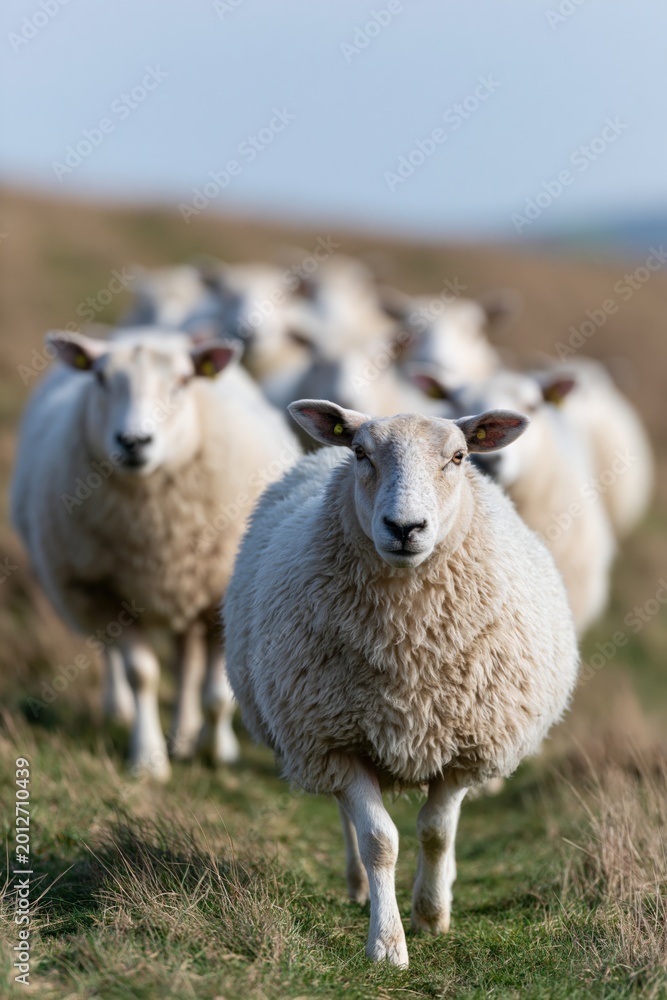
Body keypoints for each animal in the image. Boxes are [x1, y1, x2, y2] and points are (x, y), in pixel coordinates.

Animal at [11, 327, 300, 780]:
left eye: (182, 382)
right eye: (100, 378)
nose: (133, 441)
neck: (156, 534)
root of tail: (148, 331)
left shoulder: (219, 593)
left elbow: (216, 691)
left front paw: (216, 751)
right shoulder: (106, 594)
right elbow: (141, 675)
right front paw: (147, 761)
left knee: (186, 666)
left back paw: (186, 734)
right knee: (116, 656)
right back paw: (122, 711)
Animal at [224, 399, 579, 967]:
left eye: (458, 457)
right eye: (360, 453)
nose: (405, 527)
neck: (408, 647)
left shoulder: (464, 746)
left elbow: (436, 833)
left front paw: (431, 914)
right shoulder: (336, 743)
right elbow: (379, 840)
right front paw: (387, 942)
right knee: (349, 822)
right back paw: (360, 887)